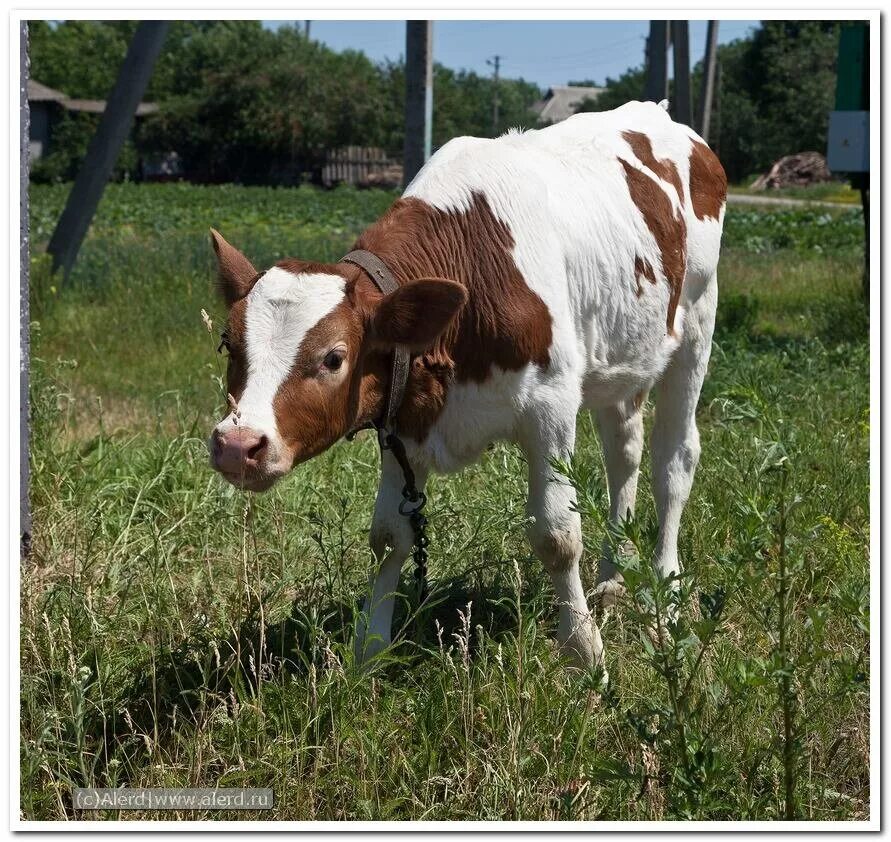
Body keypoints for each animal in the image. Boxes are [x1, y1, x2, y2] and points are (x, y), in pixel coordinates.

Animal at [209, 100, 724, 664]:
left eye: (333, 358)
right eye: (230, 345)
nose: (237, 444)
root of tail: (657, 112)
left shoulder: (551, 407)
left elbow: (557, 535)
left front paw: (583, 651)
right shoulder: (401, 420)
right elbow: (390, 534)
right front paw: (368, 650)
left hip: (697, 323)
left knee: (673, 461)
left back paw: (666, 598)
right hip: (622, 359)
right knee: (623, 453)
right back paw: (612, 579)